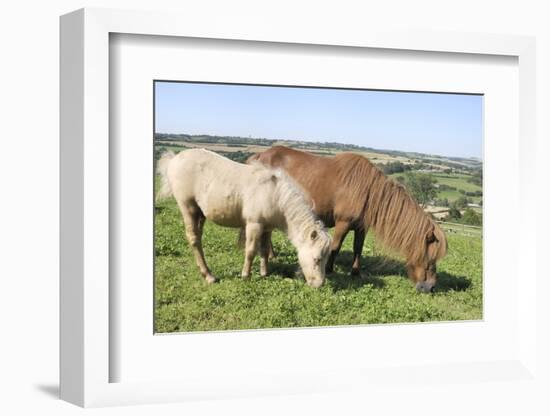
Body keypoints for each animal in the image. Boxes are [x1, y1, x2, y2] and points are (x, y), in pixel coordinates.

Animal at [157, 148, 334, 288]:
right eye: (317, 259)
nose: (319, 284)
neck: (274, 194)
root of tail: (174, 159)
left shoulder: (267, 228)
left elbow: (264, 250)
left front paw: (264, 273)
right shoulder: (254, 225)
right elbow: (250, 251)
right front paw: (246, 275)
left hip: (200, 213)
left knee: (198, 238)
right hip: (188, 208)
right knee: (193, 238)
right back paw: (208, 275)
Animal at [248, 146, 450, 292]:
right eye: (430, 258)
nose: (430, 288)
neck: (367, 191)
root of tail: (257, 156)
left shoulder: (361, 228)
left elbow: (357, 249)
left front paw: (355, 272)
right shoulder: (342, 224)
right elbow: (336, 247)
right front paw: (330, 269)